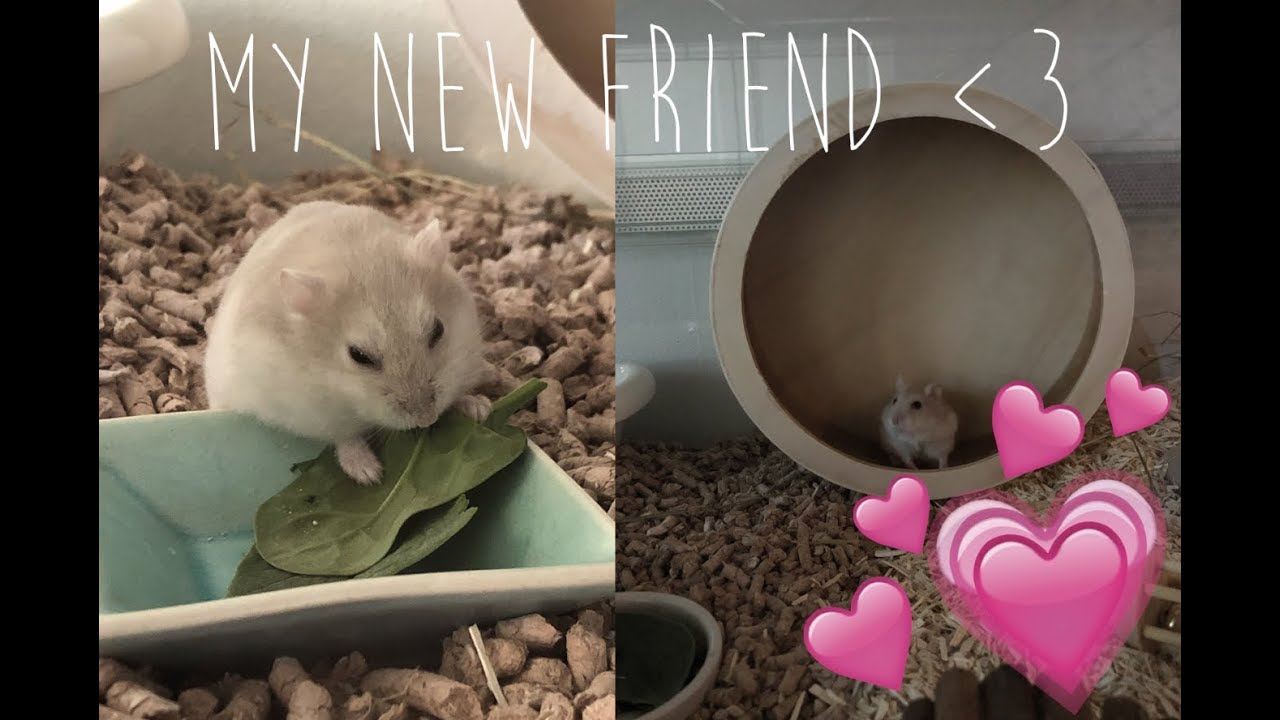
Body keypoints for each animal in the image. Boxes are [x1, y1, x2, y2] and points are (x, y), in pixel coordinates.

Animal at [203, 200, 491, 486]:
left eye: (437, 330)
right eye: (359, 355)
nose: (426, 420)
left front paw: (480, 408)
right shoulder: (313, 414)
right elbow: (344, 438)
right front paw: (370, 474)